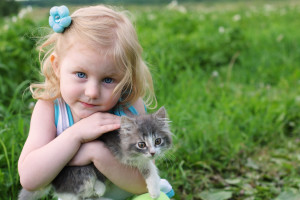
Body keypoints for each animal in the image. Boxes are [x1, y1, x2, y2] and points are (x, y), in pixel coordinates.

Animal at [18, 107, 172, 200]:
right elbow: (95, 170)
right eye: (141, 144)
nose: (152, 153)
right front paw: (99, 187)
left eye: (158, 141)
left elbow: (149, 167)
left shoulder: (138, 159)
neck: (120, 141)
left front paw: (154, 189)